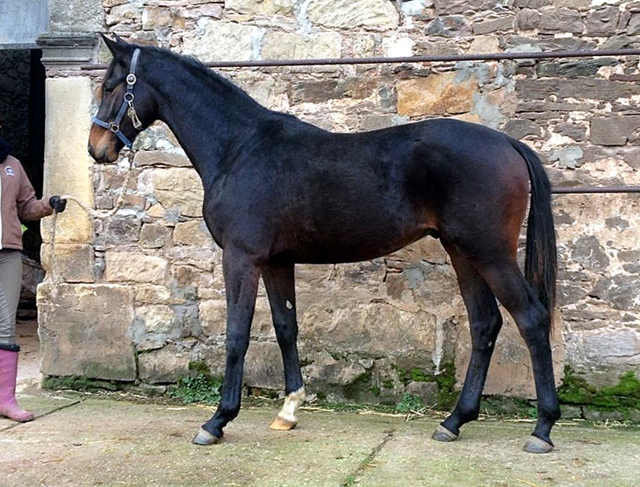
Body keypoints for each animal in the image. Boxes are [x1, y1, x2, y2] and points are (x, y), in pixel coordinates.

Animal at [87, 36, 556, 456]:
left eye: (111, 86)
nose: (97, 148)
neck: (239, 148)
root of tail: (508, 143)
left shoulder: (241, 258)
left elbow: (237, 334)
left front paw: (217, 421)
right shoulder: (276, 262)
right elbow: (286, 327)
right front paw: (288, 411)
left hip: (489, 253)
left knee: (531, 319)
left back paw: (542, 429)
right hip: (462, 252)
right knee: (485, 324)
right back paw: (454, 421)